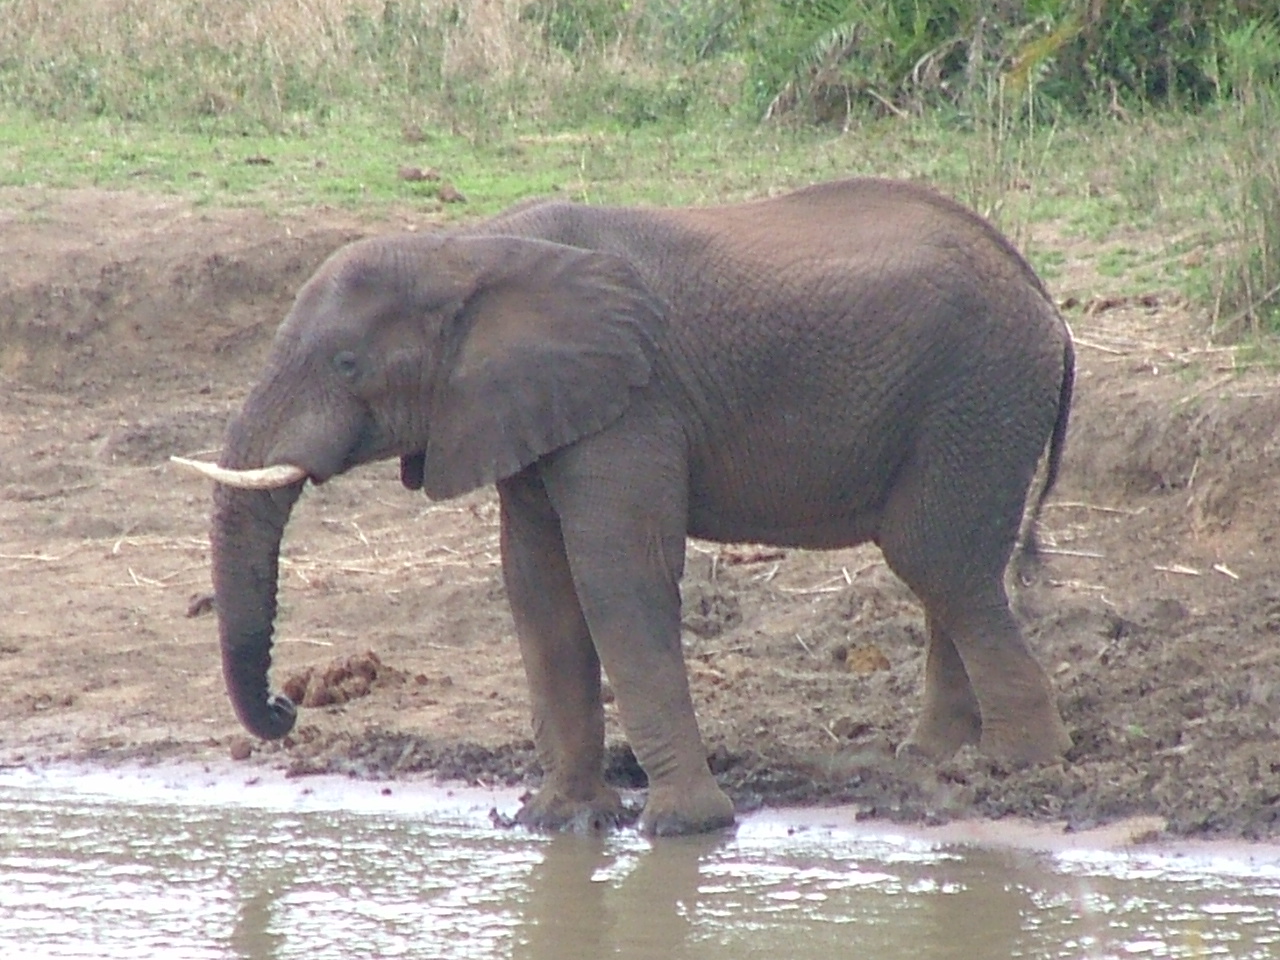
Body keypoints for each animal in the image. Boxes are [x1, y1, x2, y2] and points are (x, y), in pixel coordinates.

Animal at [176, 177, 1075, 836]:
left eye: (348, 364)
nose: (288, 704)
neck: (469, 249)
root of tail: (1044, 298)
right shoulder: (528, 408)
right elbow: (538, 588)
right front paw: (557, 824)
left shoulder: (632, 404)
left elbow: (616, 577)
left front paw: (683, 829)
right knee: (948, 573)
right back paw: (936, 759)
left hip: (979, 394)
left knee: (938, 561)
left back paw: (1016, 767)